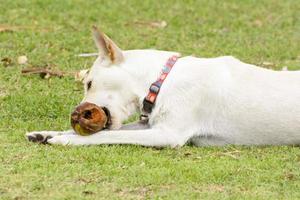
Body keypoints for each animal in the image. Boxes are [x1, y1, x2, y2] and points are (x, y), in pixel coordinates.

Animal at [26, 27, 300, 147]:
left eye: (89, 83)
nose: (77, 112)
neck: (161, 79)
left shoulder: (167, 134)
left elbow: (106, 134)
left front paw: (65, 140)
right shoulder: (151, 125)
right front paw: (46, 134)